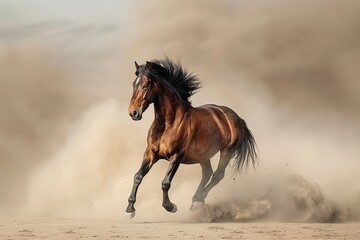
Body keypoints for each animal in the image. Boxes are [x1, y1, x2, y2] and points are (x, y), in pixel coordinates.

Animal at [125, 57, 258, 218]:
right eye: (134, 84)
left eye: (145, 85)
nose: (133, 113)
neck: (167, 124)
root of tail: (236, 117)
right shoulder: (150, 153)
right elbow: (138, 176)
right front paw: (130, 208)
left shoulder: (176, 156)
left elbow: (165, 182)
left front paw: (170, 206)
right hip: (203, 155)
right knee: (207, 174)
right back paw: (196, 200)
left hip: (227, 152)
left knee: (217, 175)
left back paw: (197, 201)